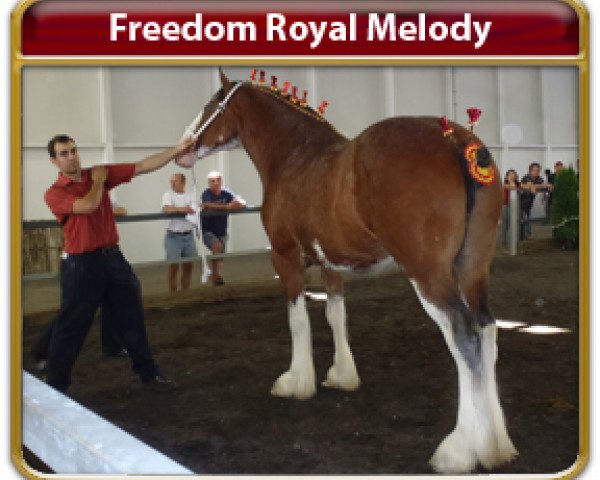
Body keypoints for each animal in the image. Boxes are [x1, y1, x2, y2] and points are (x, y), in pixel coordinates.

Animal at [176, 69, 516, 474]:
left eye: (212, 105)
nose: (182, 148)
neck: (295, 156)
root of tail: (456, 141)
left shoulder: (285, 257)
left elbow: (298, 320)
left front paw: (297, 381)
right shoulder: (330, 264)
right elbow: (335, 314)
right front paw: (342, 375)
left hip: (429, 274)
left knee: (463, 336)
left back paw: (460, 450)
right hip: (473, 268)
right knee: (488, 330)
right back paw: (496, 444)